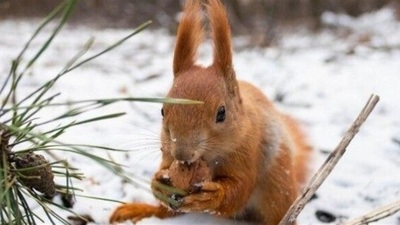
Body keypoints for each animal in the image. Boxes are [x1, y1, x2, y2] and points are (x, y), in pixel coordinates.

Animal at [110, 0, 312, 224]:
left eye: (221, 113)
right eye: (162, 110)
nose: (182, 153)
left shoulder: (247, 151)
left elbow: (240, 187)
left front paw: (213, 196)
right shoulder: (167, 151)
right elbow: (165, 169)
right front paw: (159, 183)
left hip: (277, 186)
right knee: (166, 212)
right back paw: (141, 210)